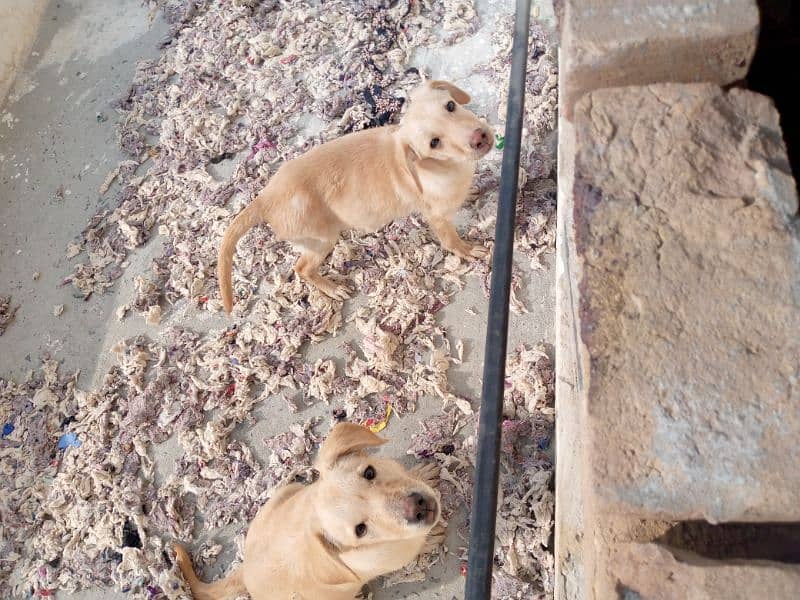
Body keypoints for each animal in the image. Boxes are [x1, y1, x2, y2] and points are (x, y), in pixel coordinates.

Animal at [219, 78, 494, 312]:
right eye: (434, 143)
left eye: (450, 105)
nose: (480, 137)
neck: (443, 166)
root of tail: (264, 198)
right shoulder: (437, 217)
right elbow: (451, 241)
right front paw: (467, 250)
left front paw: (470, 191)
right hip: (322, 238)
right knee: (302, 268)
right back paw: (331, 289)